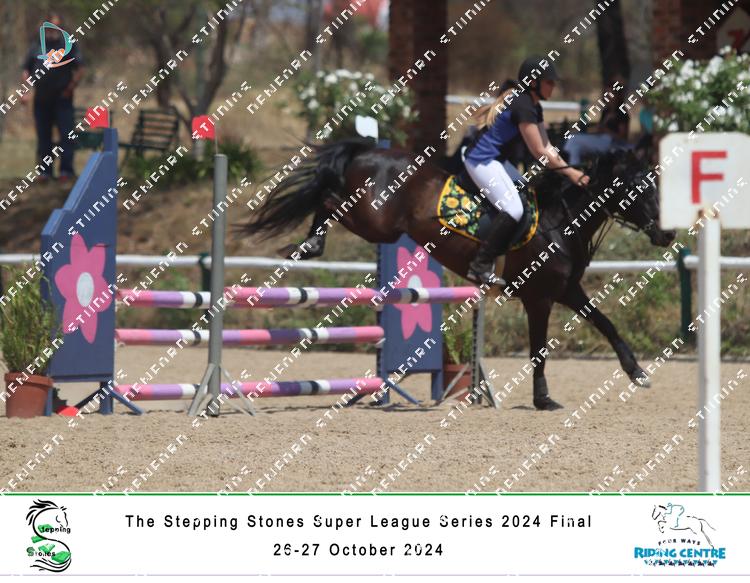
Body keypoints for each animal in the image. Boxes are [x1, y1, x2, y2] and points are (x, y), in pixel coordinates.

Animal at [241, 138, 676, 410]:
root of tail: (369, 151)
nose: (667, 234)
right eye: (638, 188)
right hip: (374, 222)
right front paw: (543, 400)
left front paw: (637, 372)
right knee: (328, 198)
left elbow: (606, 324)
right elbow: (538, 350)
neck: (563, 219)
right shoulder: (539, 298)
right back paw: (310, 244)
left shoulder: (568, 289)